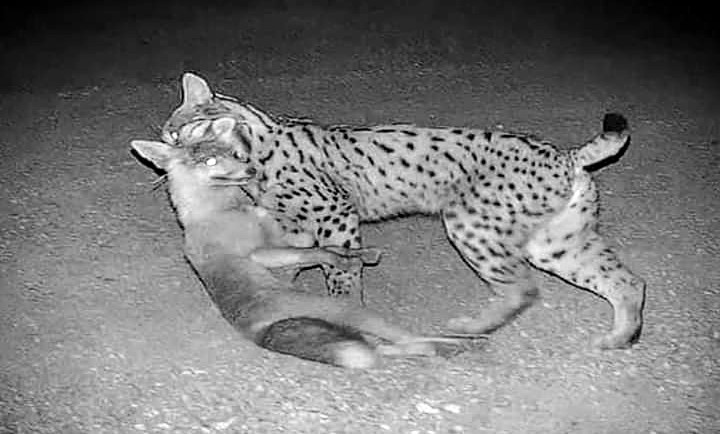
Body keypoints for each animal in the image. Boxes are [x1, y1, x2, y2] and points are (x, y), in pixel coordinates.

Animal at [130, 132, 469, 368]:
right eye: (209, 161)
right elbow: (319, 253)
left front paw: (359, 255)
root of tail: (262, 334)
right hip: (355, 314)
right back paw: (458, 343)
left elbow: (321, 247)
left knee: (392, 347)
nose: (251, 169)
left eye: (233, 154)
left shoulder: (287, 240)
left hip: (360, 334)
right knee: (414, 342)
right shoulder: (260, 253)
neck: (221, 210)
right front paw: (345, 259)